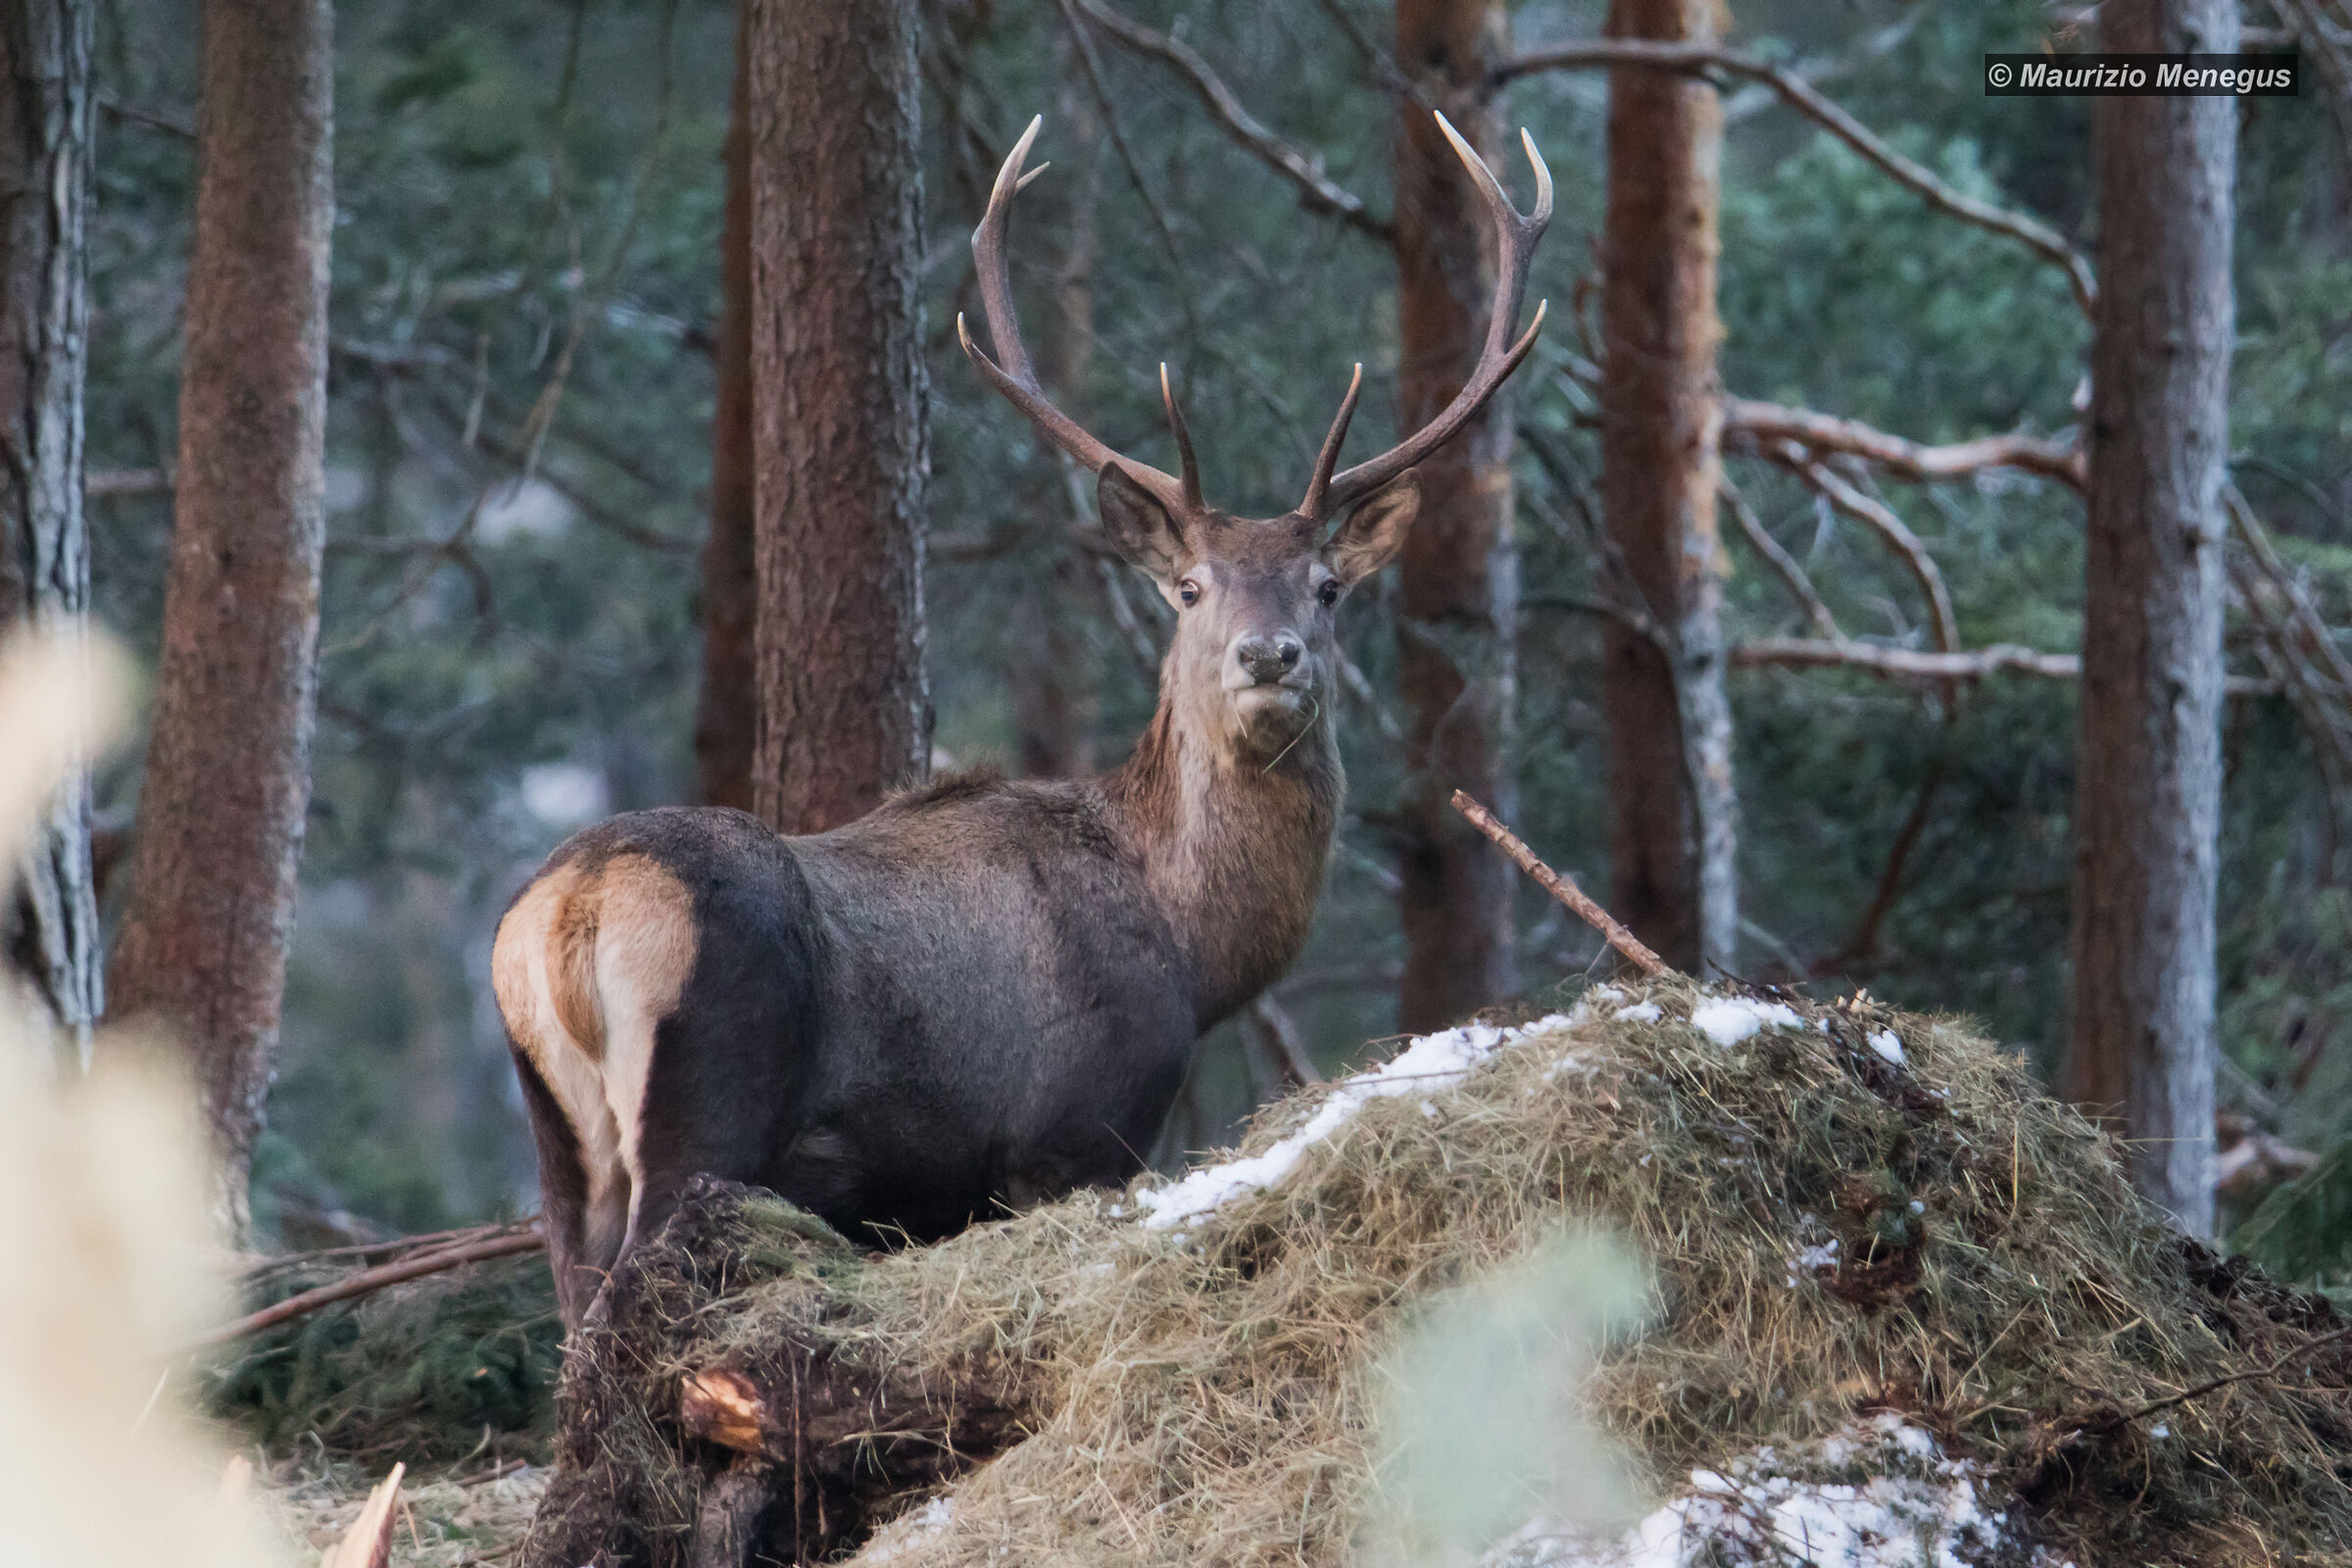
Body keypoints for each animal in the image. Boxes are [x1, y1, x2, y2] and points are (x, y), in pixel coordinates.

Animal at [493, 111, 1551, 1329]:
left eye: (1326, 587)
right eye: (1188, 587)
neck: (1193, 946)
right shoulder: (1080, 1124)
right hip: (710, 1083)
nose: (1268, 652)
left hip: (557, 1138)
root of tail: (571, 912)